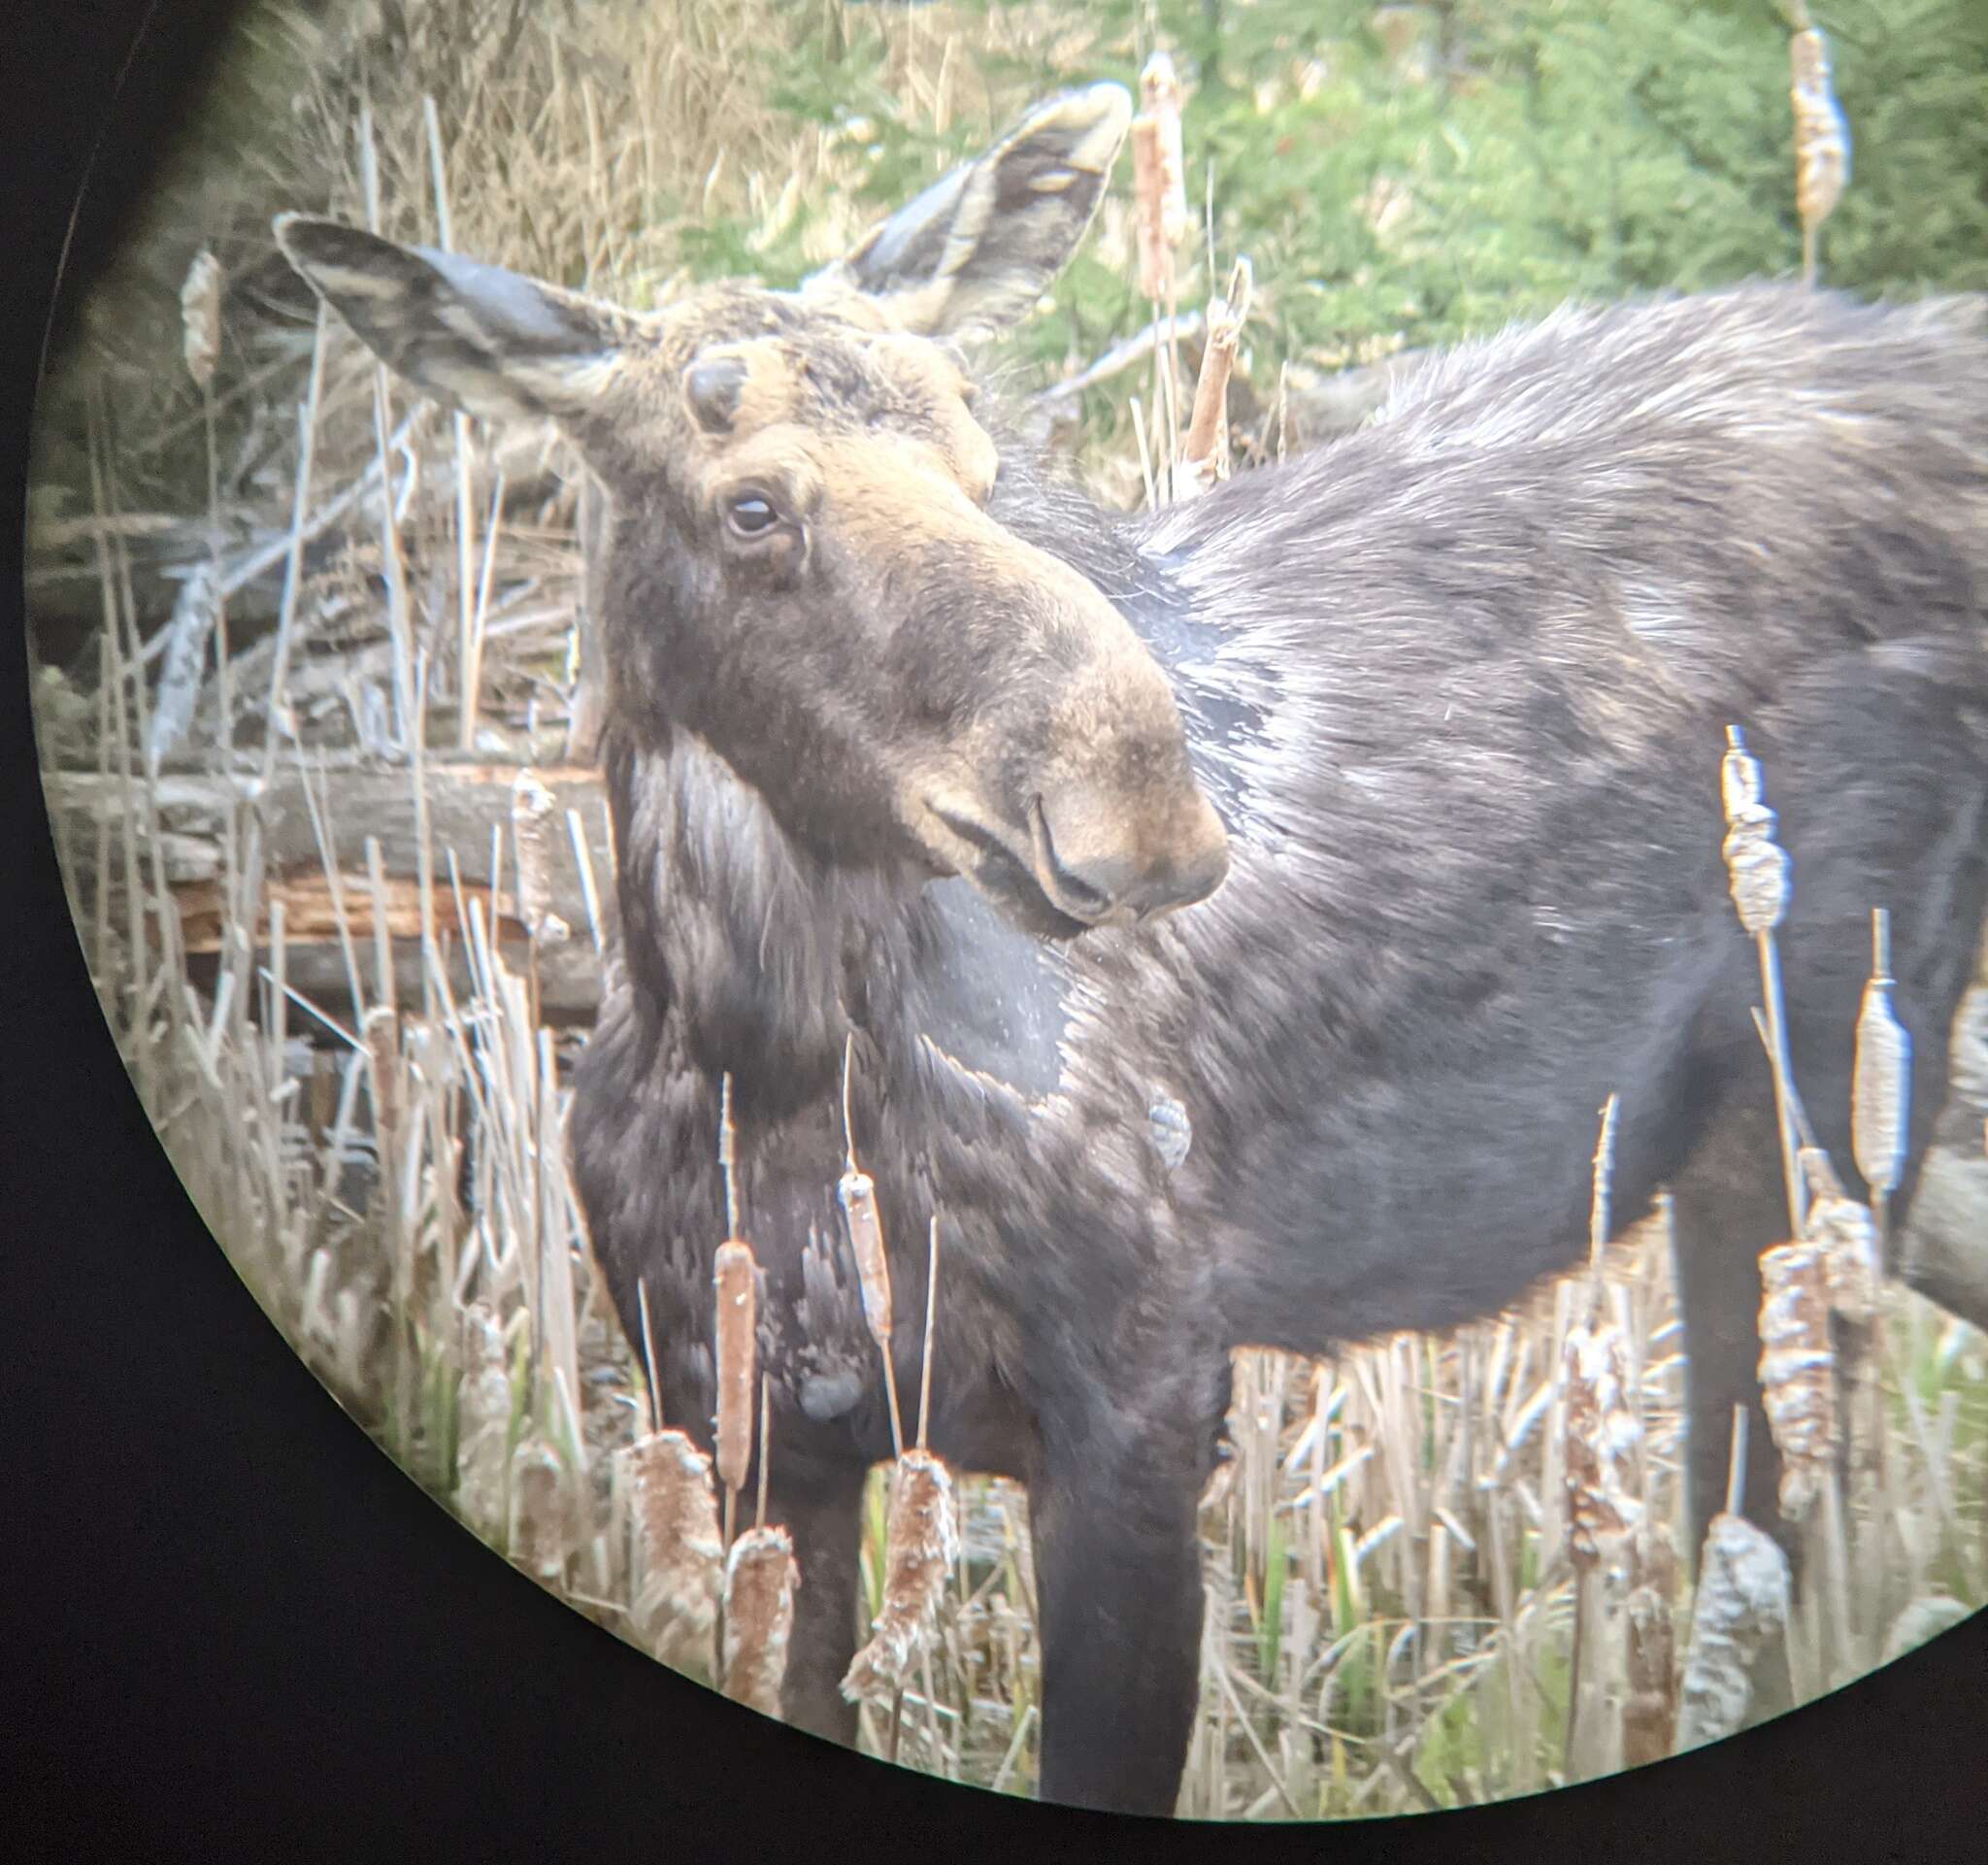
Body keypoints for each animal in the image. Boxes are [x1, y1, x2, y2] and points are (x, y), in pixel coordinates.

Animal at [280, 87, 1988, 1820]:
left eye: (985, 458)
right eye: (751, 504)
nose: (1140, 802)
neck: (758, 1055)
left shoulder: (1143, 1406)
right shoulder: (735, 1428)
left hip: (1832, 1083)